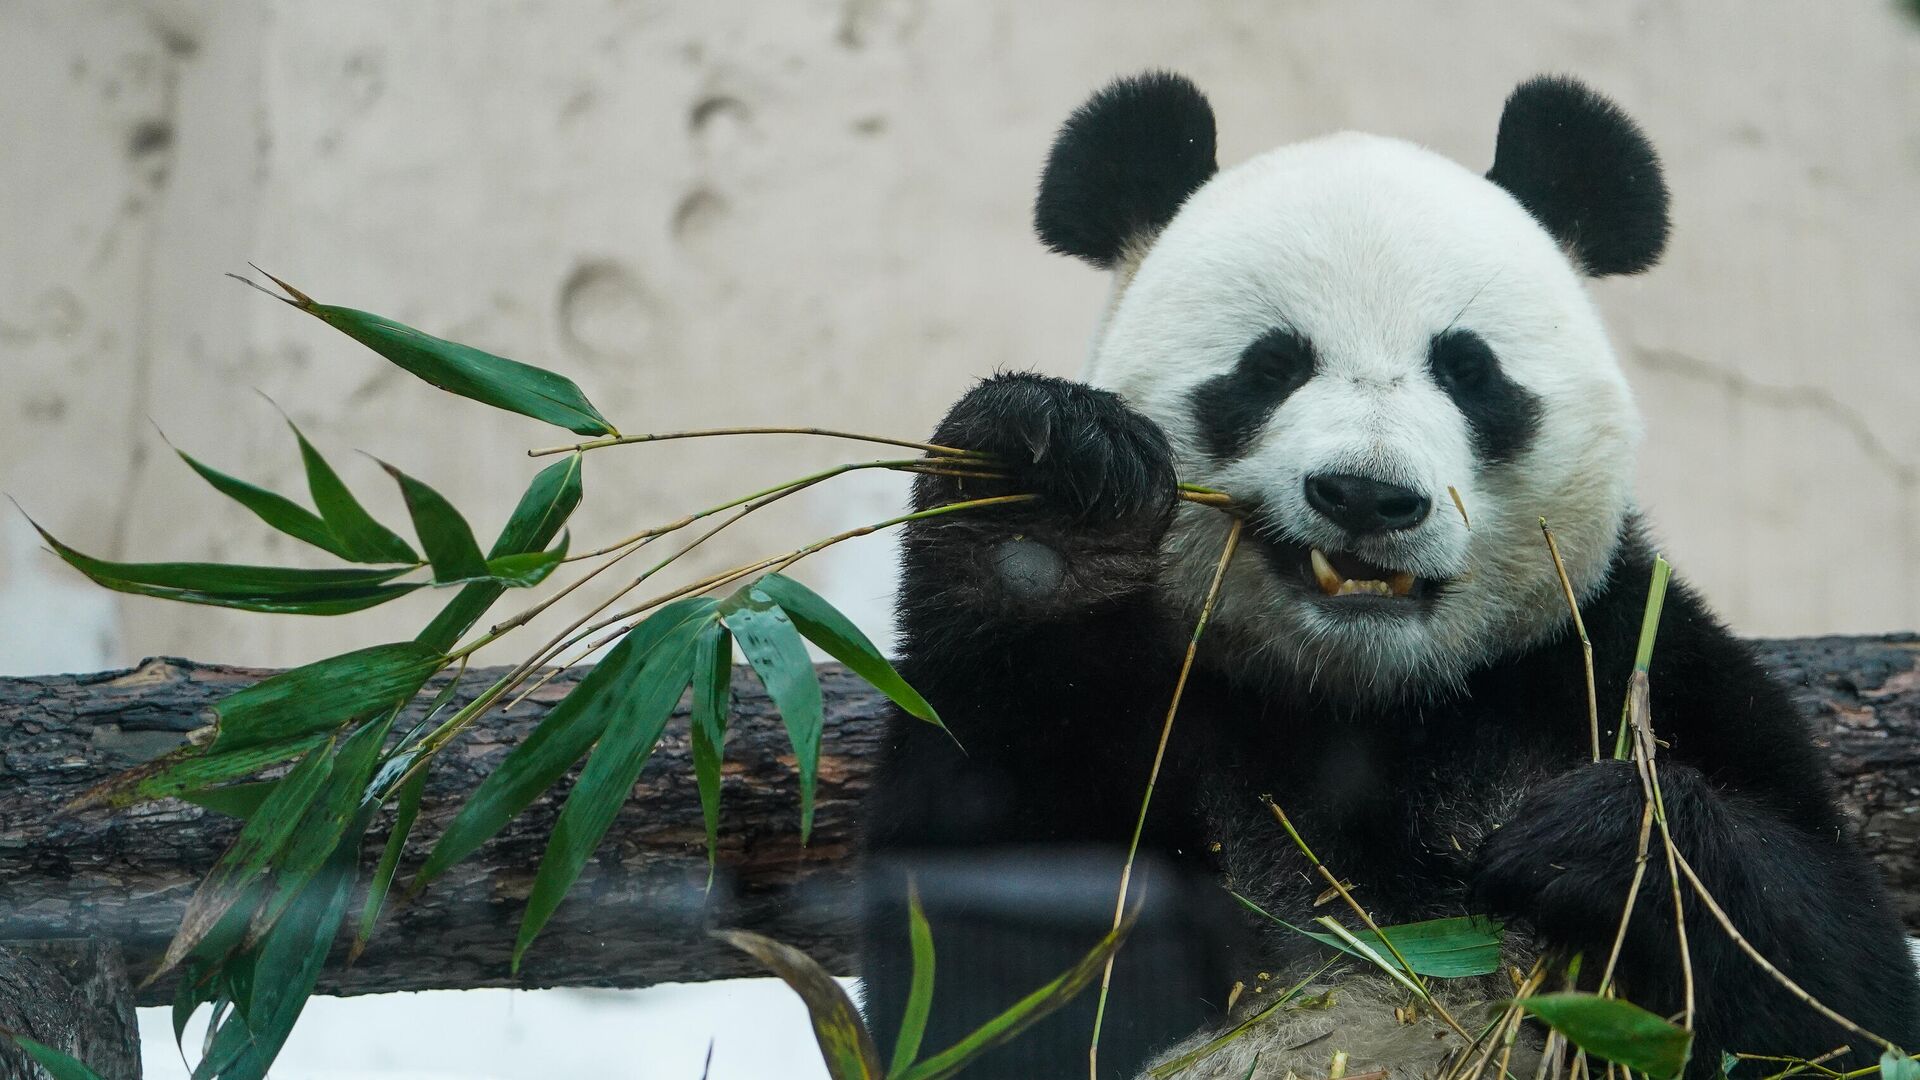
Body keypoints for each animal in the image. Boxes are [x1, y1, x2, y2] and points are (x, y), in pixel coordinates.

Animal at [860, 71, 1920, 1068]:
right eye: (1271, 366)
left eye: (1469, 370)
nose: (1366, 495)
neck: (1367, 703)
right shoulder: (1146, 708)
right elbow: (988, 966)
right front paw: (1047, 497)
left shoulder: (1620, 656)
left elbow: (1842, 989)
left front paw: (1601, 840)